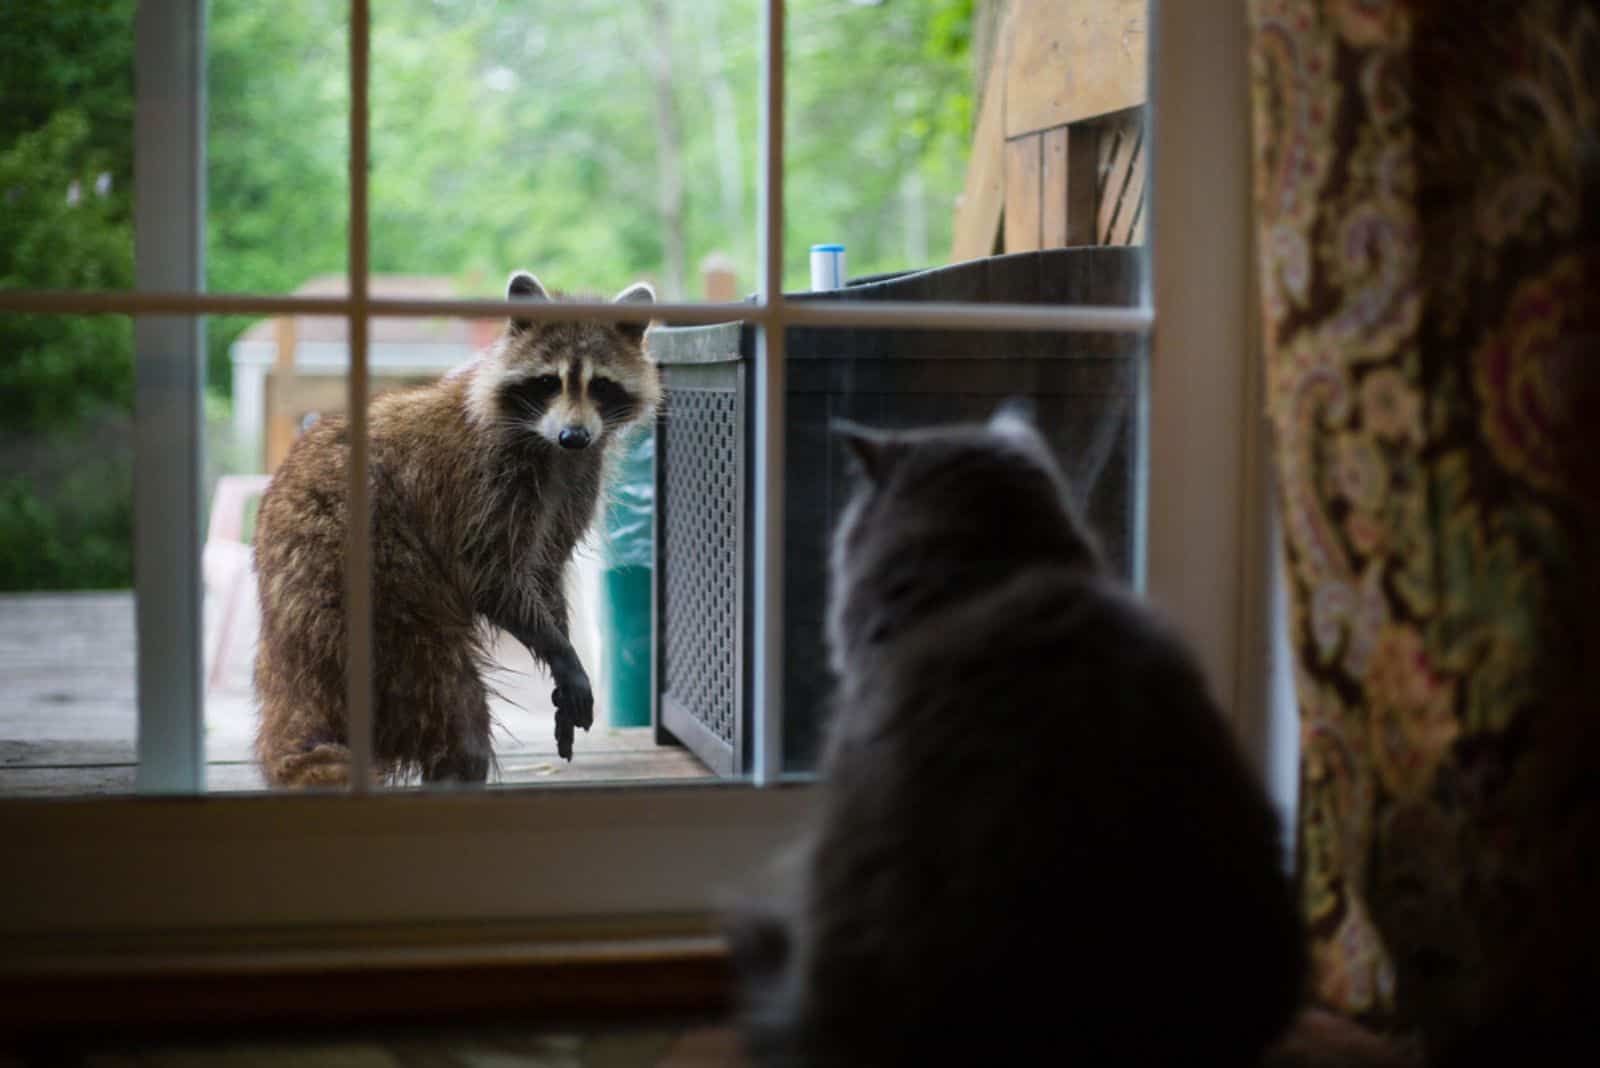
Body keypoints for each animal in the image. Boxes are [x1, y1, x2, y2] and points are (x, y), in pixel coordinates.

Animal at [251, 267, 662, 783]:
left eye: (601, 385)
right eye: (549, 382)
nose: (575, 435)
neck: (547, 445)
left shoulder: (577, 480)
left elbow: (543, 569)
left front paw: (560, 641)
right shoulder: (480, 479)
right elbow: (490, 573)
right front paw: (559, 652)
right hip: (367, 594)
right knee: (453, 706)